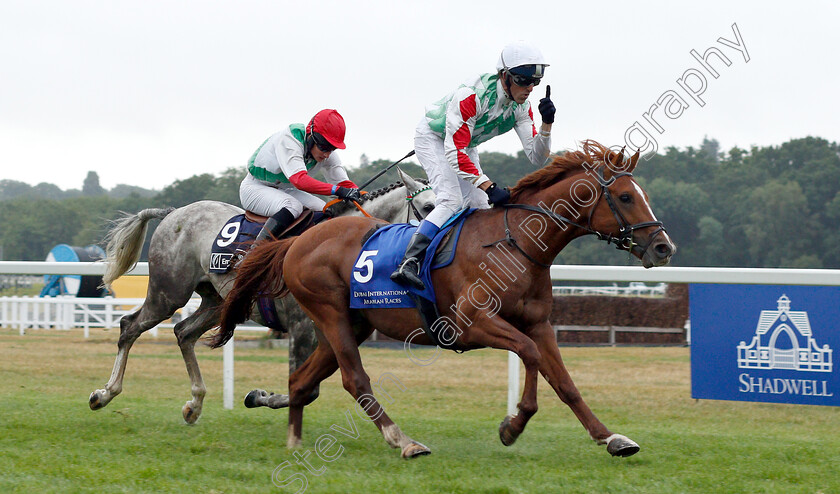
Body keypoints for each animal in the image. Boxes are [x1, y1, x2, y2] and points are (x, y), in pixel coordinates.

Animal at [91, 170, 434, 424]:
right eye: (429, 207)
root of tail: (175, 212)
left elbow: (312, 388)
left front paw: (259, 396)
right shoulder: (302, 327)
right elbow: (304, 388)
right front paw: (258, 396)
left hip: (219, 301)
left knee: (183, 332)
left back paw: (194, 404)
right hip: (168, 293)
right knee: (130, 326)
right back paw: (104, 393)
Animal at [212, 142, 676, 460]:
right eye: (625, 197)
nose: (663, 248)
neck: (516, 242)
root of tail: (296, 241)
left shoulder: (539, 323)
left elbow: (564, 382)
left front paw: (611, 437)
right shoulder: (473, 322)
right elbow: (529, 355)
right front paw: (513, 424)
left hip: (351, 324)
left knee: (302, 380)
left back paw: (283, 424)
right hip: (330, 316)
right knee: (353, 380)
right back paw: (403, 440)